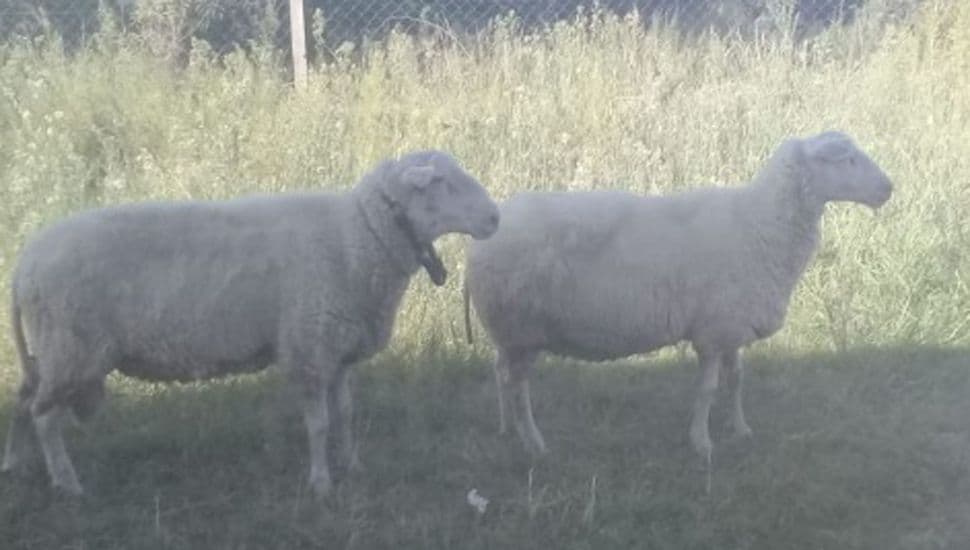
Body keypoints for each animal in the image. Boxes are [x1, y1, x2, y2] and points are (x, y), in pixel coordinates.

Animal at [2, 150, 500, 496]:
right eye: (441, 183)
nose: (496, 217)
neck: (357, 236)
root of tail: (25, 265)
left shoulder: (336, 350)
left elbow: (345, 415)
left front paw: (353, 466)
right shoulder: (309, 347)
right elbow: (319, 424)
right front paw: (321, 483)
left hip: (52, 352)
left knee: (23, 402)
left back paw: (14, 465)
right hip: (72, 349)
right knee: (45, 418)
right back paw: (68, 483)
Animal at [464, 131, 892, 473]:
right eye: (847, 159)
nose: (888, 188)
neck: (761, 223)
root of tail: (480, 243)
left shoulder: (731, 325)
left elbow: (737, 380)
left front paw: (740, 429)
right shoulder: (712, 333)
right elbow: (707, 390)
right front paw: (702, 443)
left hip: (509, 334)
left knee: (499, 372)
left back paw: (506, 428)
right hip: (521, 328)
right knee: (518, 389)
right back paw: (534, 443)